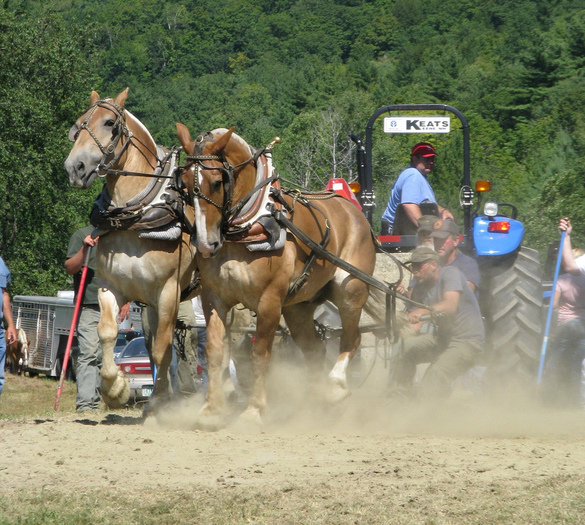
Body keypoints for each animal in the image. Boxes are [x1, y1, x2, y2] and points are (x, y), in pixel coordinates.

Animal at [64, 89, 196, 410]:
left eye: (110, 123)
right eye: (79, 124)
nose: (74, 168)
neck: (136, 217)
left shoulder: (169, 292)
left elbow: (163, 348)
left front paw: (159, 401)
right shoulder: (111, 287)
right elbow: (108, 334)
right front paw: (115, 389)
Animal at [175, 124, 374, 426]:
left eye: (218, 182)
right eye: (185, 183)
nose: (206, 243)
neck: (248, 226)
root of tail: (354, 211)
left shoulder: (269, 302)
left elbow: (260, 355)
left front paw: (254, 411)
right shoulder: (214, 298)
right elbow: (214, 351)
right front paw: (211, 410)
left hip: (351, 291)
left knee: (352, 339)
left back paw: (335, 388)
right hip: (298, 308)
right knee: (315, 352)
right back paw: (310, 407)